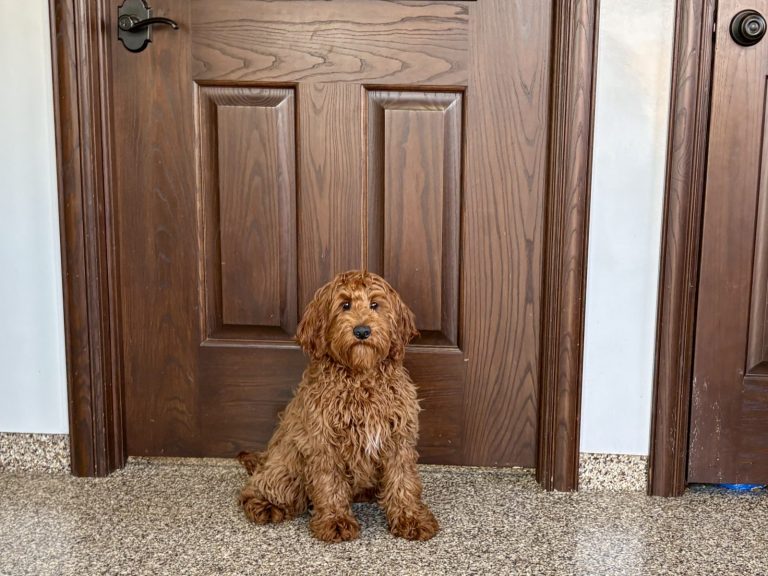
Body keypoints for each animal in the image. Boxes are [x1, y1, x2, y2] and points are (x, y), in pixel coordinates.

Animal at [238, 270, 438, 542]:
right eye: (345, 305)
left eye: (375, 305)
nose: (362, 331)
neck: (360, 377)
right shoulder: (323, 440)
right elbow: (329, 482)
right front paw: (335, 521)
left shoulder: (398, 438)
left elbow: (403, 479)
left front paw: (411, 518)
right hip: (286, 463)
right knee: (258, 487)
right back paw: (265, 505)